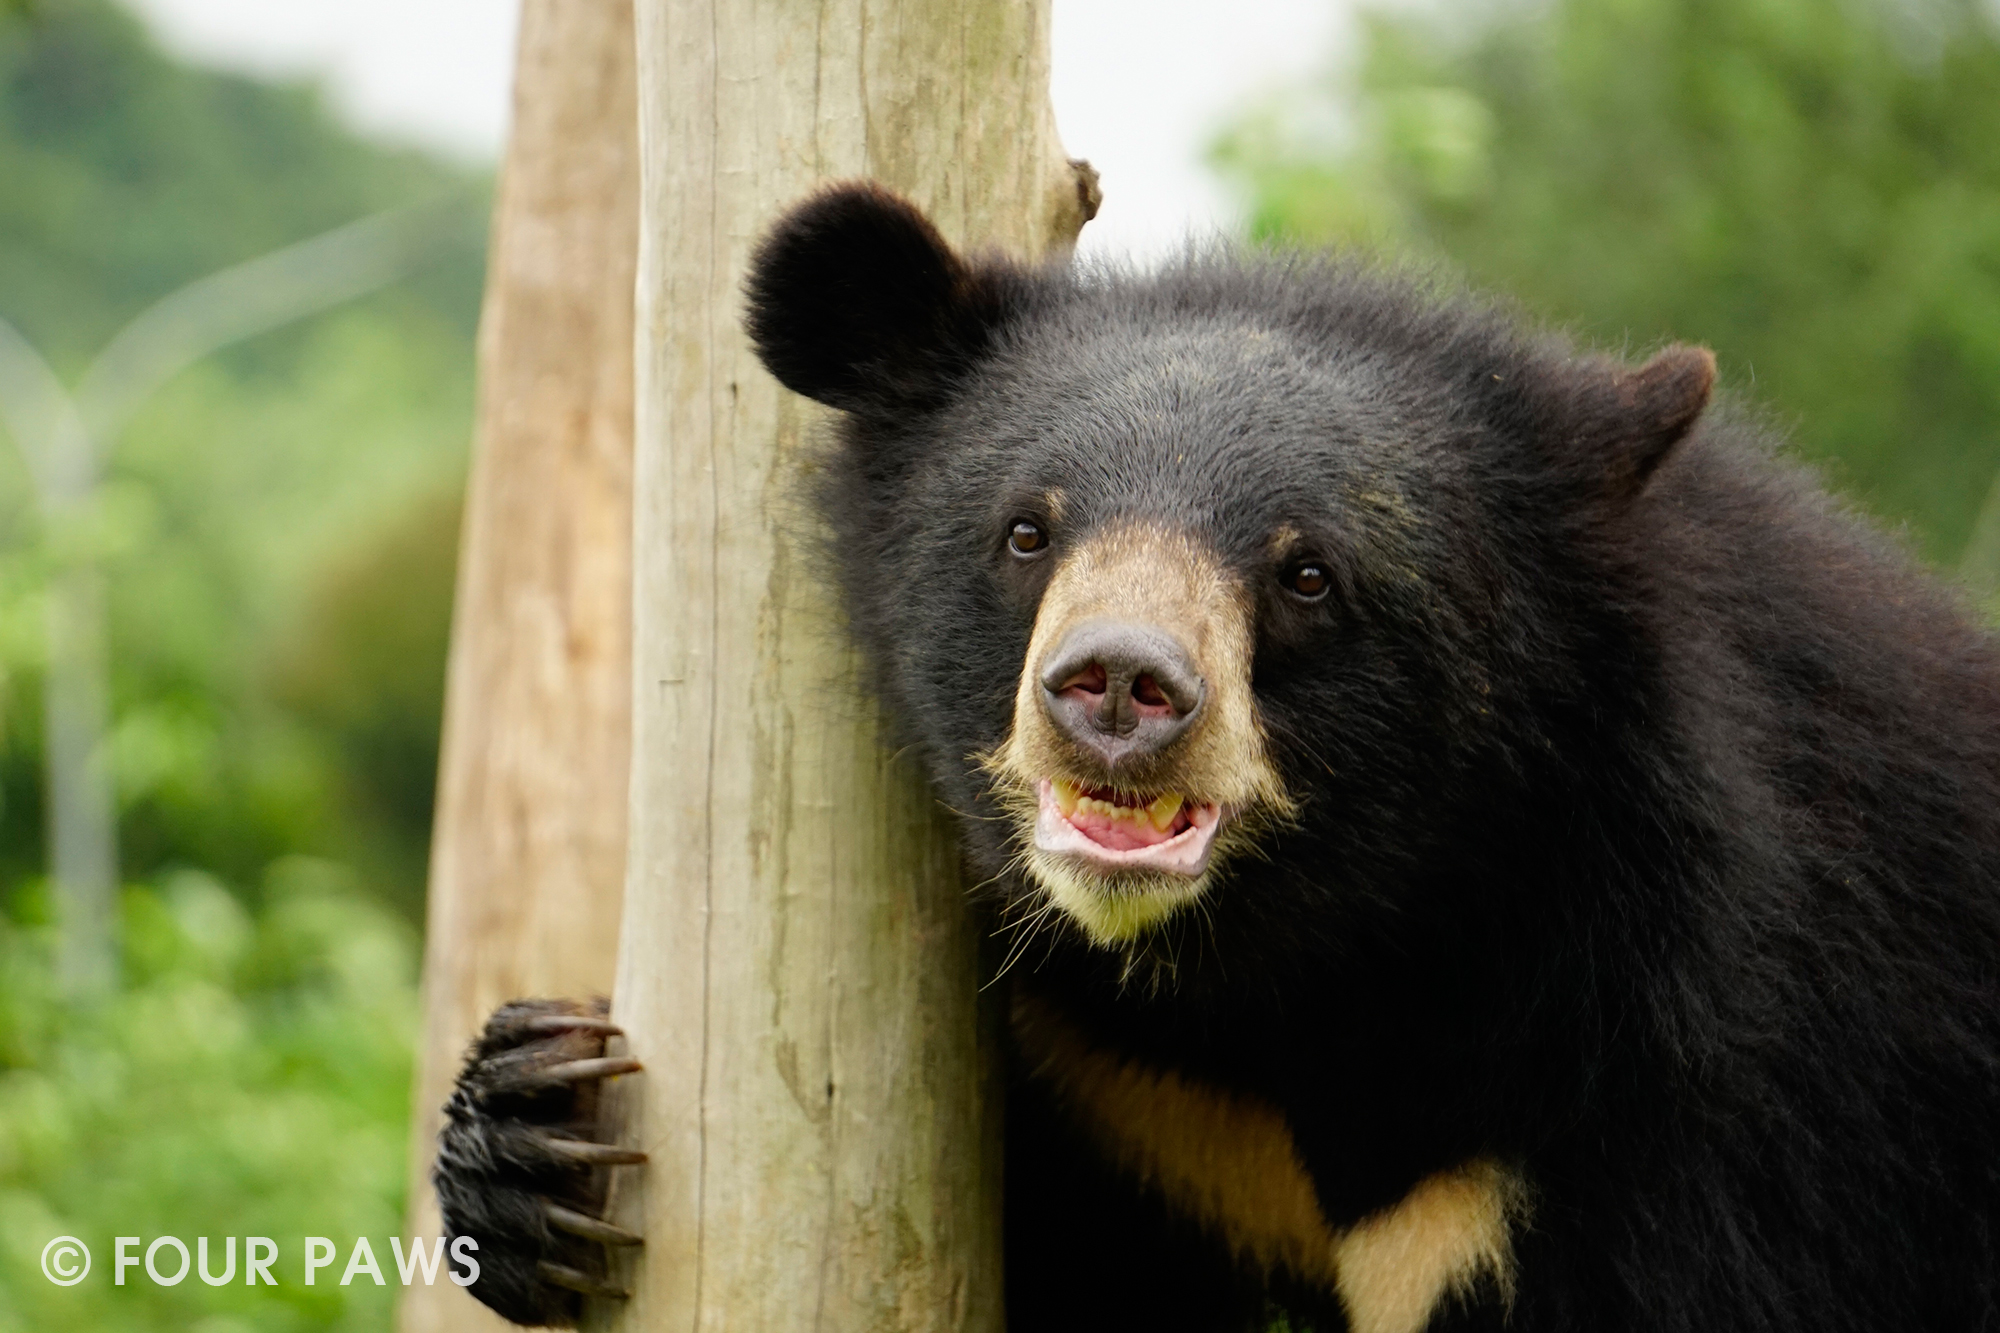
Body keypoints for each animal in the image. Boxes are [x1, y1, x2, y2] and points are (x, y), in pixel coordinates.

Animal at [434, 179, 2000, 1328]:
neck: (1294, 978)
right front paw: (540, 1129)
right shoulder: (1136, 1110)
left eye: (1306, 574)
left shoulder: (1697, 1101)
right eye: (1026, 530)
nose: (1117, 686)